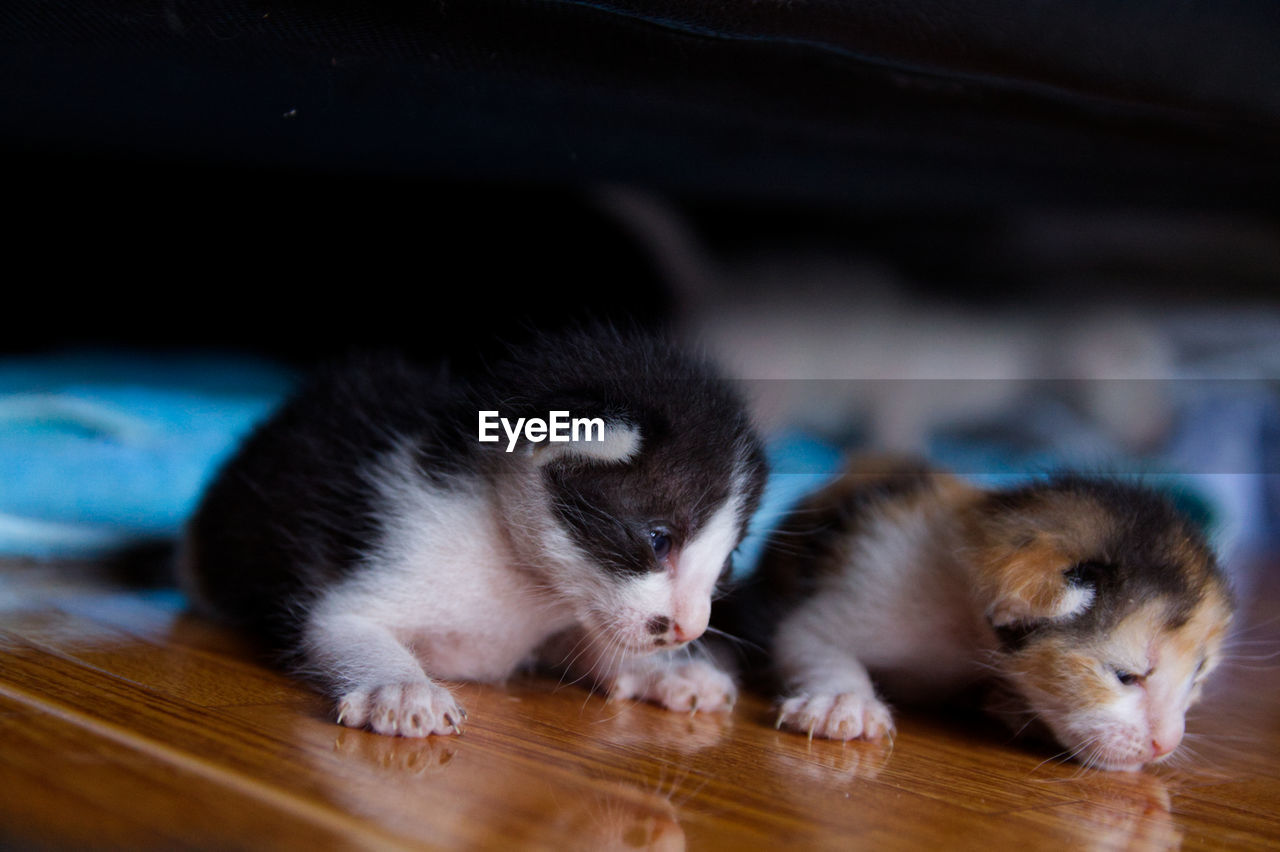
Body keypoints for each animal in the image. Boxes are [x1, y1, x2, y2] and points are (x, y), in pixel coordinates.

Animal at [175, 326, 762, 736]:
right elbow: (344, 626)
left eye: (728, 565)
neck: (516, 566)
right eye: (659, 540)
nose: (690, 631)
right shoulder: (398, 550)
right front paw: (401, 689)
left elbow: (593, 640)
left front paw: (667, 671)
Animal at [732, 457, 1239, 767]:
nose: (1166, 745)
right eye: (1125, 676)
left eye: (1196, 680)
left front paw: (1010, 705)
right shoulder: (868, 584)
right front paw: (843, 702)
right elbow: (809, 639)